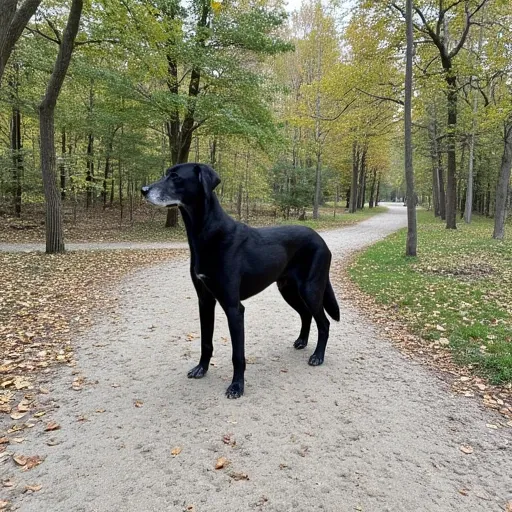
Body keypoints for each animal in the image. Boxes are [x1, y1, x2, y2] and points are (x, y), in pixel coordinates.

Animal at [141, 162, 340, 398]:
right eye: (166, 174)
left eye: (176, 177)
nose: (143, 190)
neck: (205, 233)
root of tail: (321, 239)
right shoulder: (205, 301)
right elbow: (206, 341)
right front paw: (202, 368)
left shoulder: (234, 307)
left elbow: (238, 354)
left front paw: (237, 386)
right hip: (288, 289)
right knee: (306, 314)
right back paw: (302, 341)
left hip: (311, 288)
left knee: (324, 322)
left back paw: (318, 356)